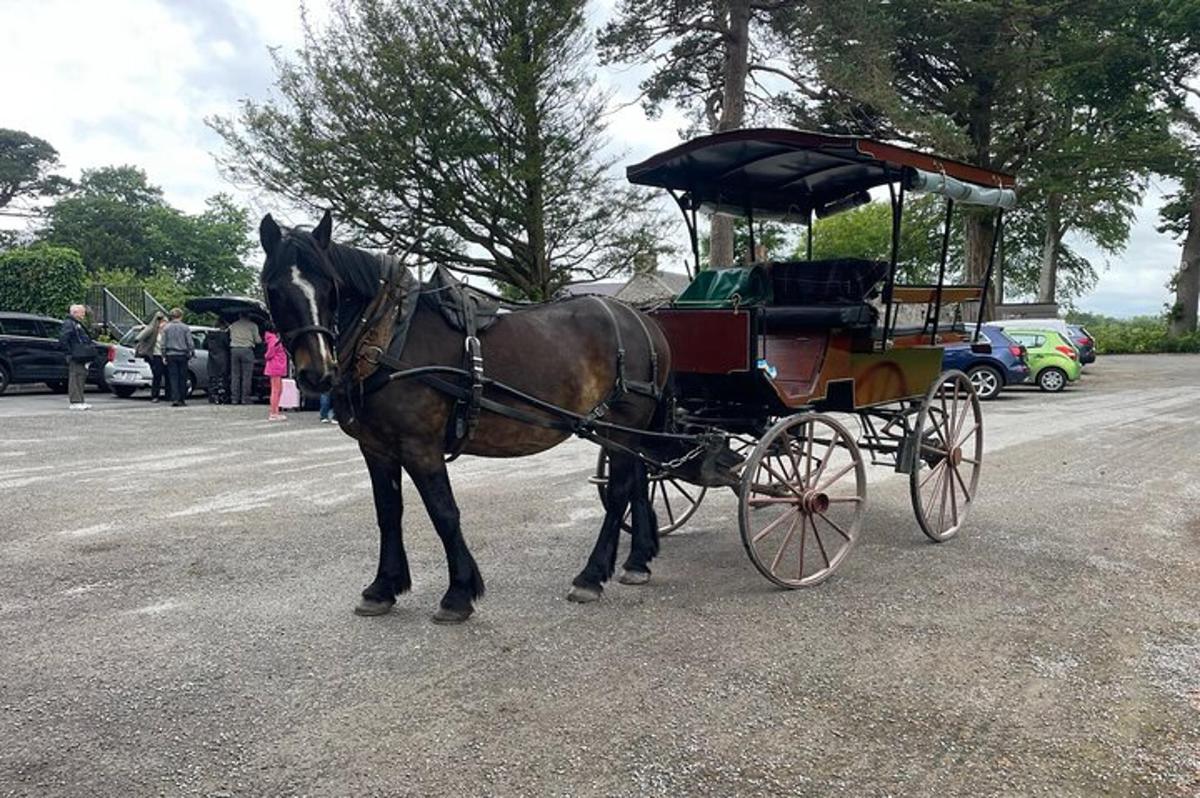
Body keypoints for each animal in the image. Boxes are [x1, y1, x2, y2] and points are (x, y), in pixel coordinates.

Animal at [258, 213, 672, 624]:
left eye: (330, 287)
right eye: (274, 289)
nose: (317, 373)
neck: (389, 335)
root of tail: (643, 321)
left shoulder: (420, 445)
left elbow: (444, 512)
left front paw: (458, 592)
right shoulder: (375, 447)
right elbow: (388, 513)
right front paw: (383, 587)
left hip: (620, 423)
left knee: (618, 492)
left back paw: (591, 575)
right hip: (624, 431)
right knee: (639, 480)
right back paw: (637, 561)